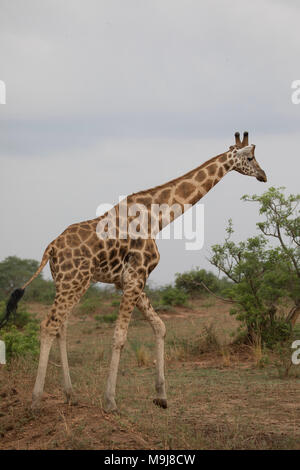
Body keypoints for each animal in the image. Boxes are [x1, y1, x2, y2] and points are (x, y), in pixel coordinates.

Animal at [4, 129, 268, 412]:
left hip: (65, 282)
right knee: (49, 325)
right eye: (250, 158)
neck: (157, 218)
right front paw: (110, 401)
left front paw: (161, 396)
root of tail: (51, 248)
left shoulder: (129, 279)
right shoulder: (136, 275)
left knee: (61, 327)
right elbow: (119, 336)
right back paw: (35, 400)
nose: (264, 175)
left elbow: (160, 326)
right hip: (74, 281)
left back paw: (70, 394)